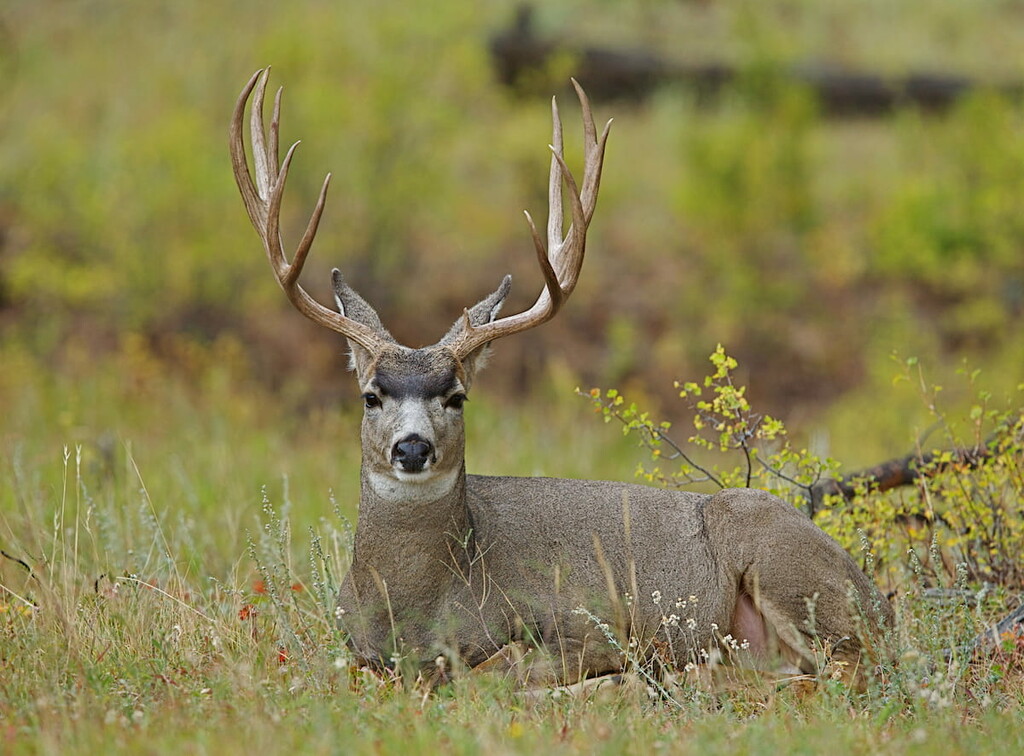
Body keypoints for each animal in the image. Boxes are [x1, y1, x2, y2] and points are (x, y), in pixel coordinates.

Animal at [230, 68, 893, 690]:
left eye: (457, 397)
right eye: (371, 396)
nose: (412, 448)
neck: (420, 606)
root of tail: (883, 605)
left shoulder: (577, 624)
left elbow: (497, 673)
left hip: (778, 557)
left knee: (841, 670)